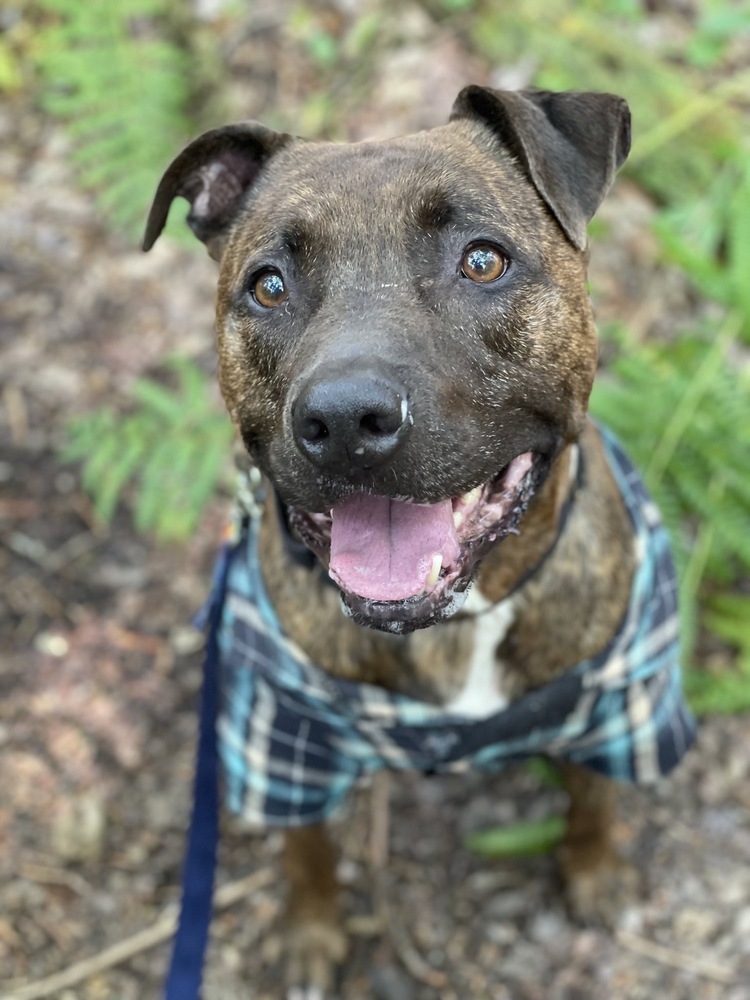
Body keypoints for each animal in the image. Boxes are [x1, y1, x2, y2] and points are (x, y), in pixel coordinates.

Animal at [144, 90, 696, 996]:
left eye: (483, 261)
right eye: (268, 285)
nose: (344, 419)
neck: (458, 620)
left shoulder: (620, 697)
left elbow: (595, 798)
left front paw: (595, 871)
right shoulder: (286, 735)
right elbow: (305, 849)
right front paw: (311, 931)